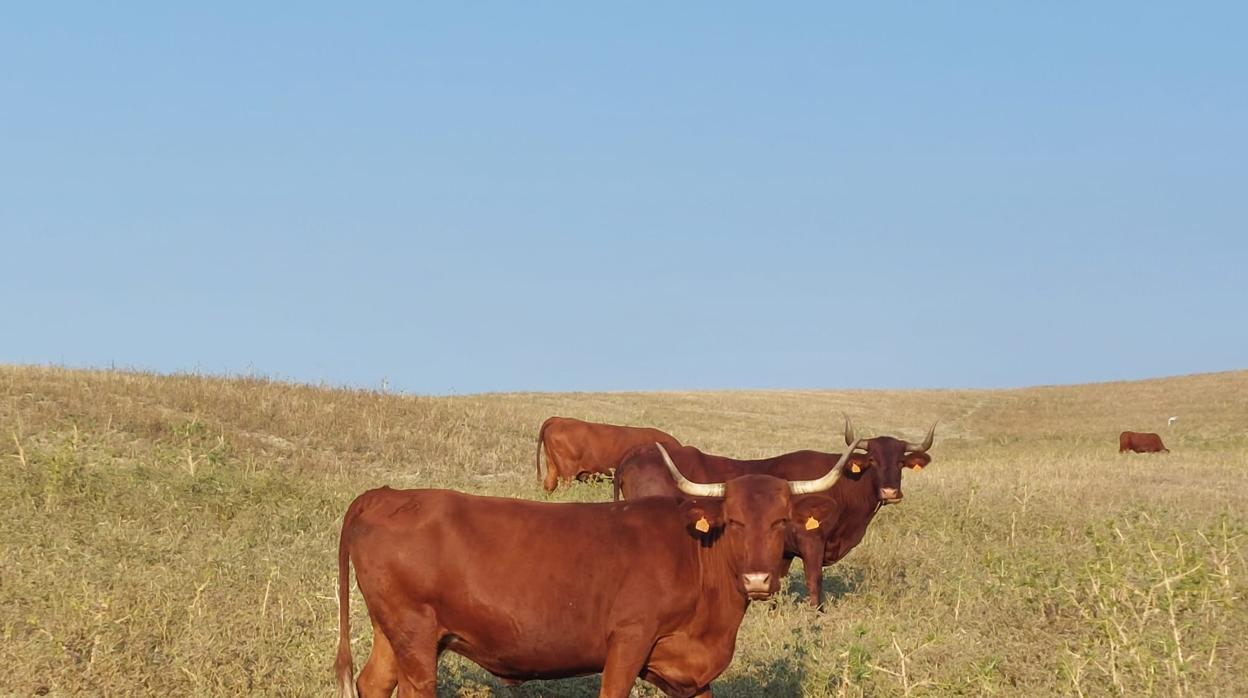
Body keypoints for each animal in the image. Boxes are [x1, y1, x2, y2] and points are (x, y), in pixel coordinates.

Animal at [331, 442, 858, 698]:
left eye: (781, 521)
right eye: (734, 521)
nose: (757, 581)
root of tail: (386, 494)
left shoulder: (690, 672)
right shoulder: (627, 642)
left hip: (393, 634)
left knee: (372, 683)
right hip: (416, 638)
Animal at [614, 417, 938, 609]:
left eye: (900, 462)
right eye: (872, 460)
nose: (890, 492)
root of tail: (635, 454)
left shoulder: (782, 551)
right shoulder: (811, 542)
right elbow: (814, 582)